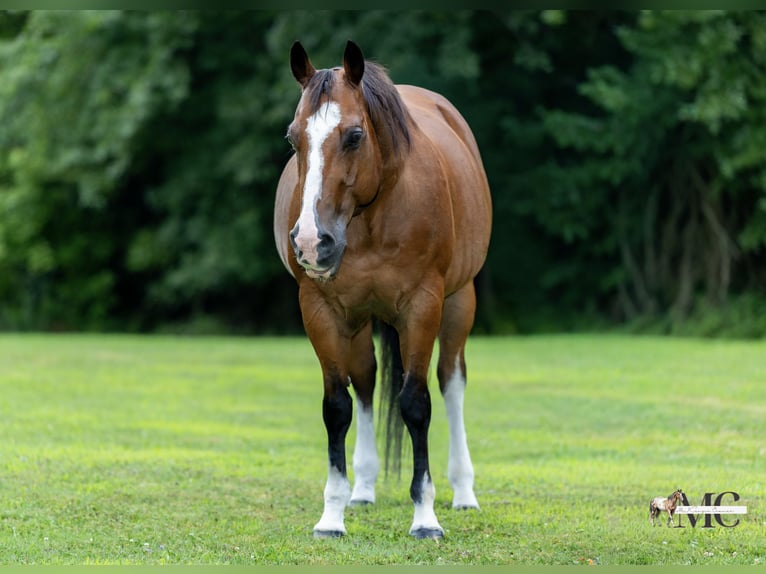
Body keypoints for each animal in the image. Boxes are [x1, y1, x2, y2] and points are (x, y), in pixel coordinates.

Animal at [273, 41, 492, 539]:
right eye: (293, 139)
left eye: (354, 135)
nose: (311, 242)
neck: (372, 215)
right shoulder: (321, 309)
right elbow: (337, 406)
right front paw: (331, 515)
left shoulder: (422, 306)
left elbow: (416, 404)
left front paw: (425, 516)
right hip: (358, 322)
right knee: (366, 382)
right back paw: (363, 488)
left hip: (459, 303)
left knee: (451, 383)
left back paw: (463, 491)